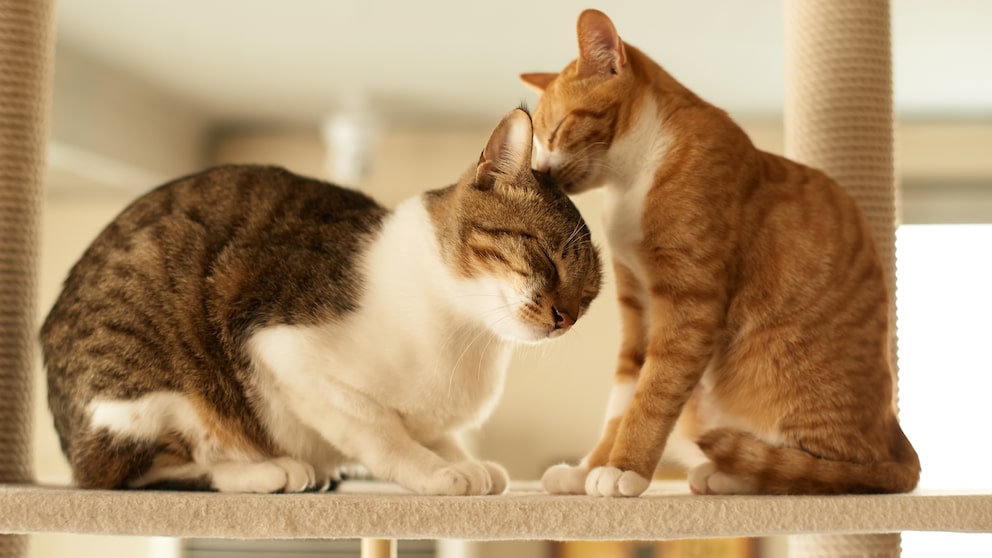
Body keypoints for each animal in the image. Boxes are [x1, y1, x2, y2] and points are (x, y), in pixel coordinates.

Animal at [42, 108, 600, 494]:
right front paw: (440, 472)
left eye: (588, 295)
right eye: (548, 258)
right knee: (132, 473)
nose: (565, 317)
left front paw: (462, 460)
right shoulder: (285, 353)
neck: (469, 333)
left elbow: (434, 435)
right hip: (154, 395)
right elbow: (384, 435)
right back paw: (270, 471)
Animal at [524, 9, 920, 498]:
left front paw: (624, 469)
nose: (540, 169)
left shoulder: (690, 309)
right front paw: (585, 471)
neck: (632, 179)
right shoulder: (637, 310)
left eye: (558, 129)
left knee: (812, 472)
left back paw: (727, 473)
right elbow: (622, 399)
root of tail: (899, 441)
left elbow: (651, 396)